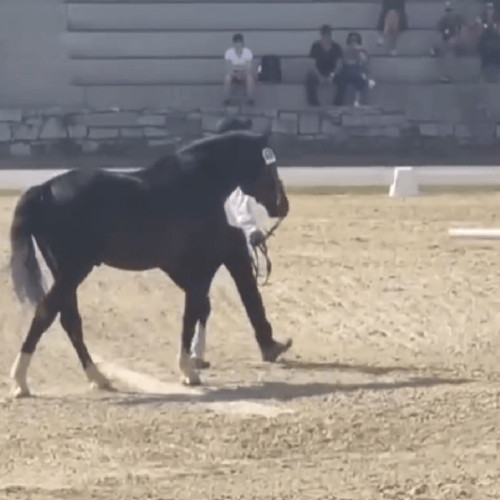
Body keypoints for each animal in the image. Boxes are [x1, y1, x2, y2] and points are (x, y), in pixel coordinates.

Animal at [8, 131, 290, 396]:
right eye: (270, 167)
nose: (283, 206)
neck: (196, 186)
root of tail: (44, 189)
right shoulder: (202, 267)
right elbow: (192, 313)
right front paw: (189, 371)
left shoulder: (191, 269)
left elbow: (199, 309)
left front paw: (194, 362)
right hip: (73, 271)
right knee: (46, 313)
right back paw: (20, 381)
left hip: (65, 273)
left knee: (69, 321)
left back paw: (98, 378)